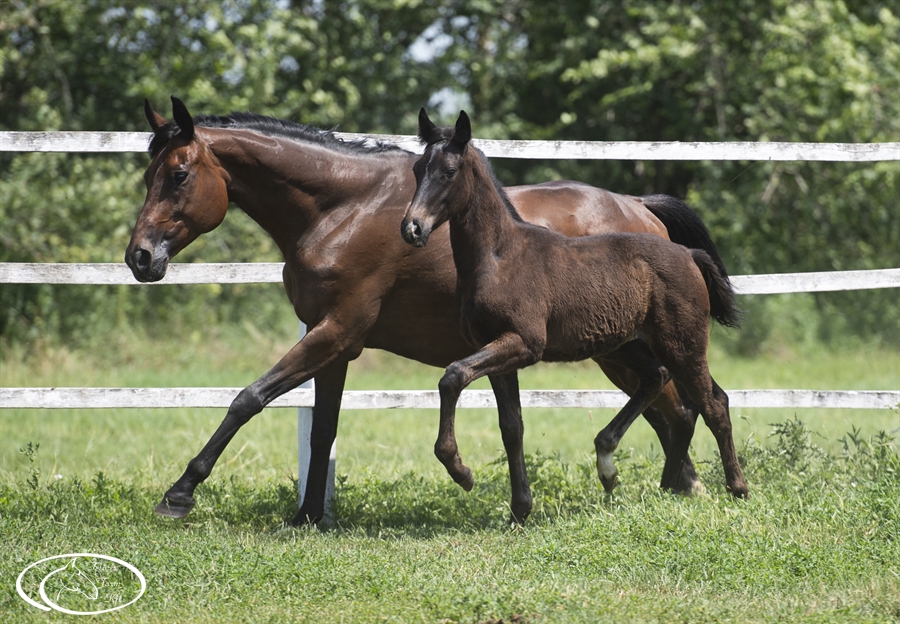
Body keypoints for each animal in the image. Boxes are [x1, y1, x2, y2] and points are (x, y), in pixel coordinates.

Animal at [125, 97, 732, 528]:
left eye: (178, 175)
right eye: (149, 175)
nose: (140, 258)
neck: (341, 210)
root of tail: (642, 210)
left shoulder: (334, 334)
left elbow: (248, 398)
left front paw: (179, 494)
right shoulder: (335, 345)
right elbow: (323, 431)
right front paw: (308, 517)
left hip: (634, 347)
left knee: (683, 405)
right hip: (622, 348)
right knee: (675, 406)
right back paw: (674, 484)